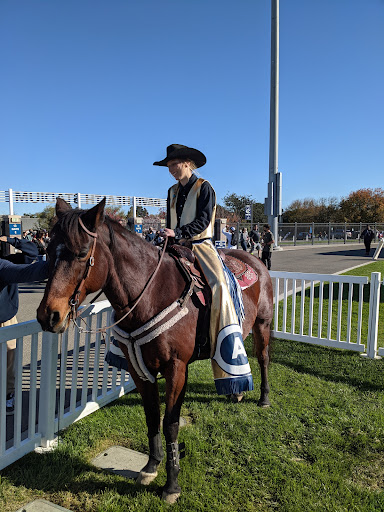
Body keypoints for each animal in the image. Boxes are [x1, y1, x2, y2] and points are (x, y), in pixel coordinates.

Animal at [36, 197, 272, 504]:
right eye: (48, 250)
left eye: (82, 253)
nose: (48, 315)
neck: (151, 294)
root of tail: (255, 261)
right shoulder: (139, 369)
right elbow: (151, 416)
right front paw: (151, 466)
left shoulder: (176, 368)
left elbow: (170, 422)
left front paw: (171, 485)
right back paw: (237, 392)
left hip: (263, 323)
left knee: (264, 358)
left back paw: (263, 398)